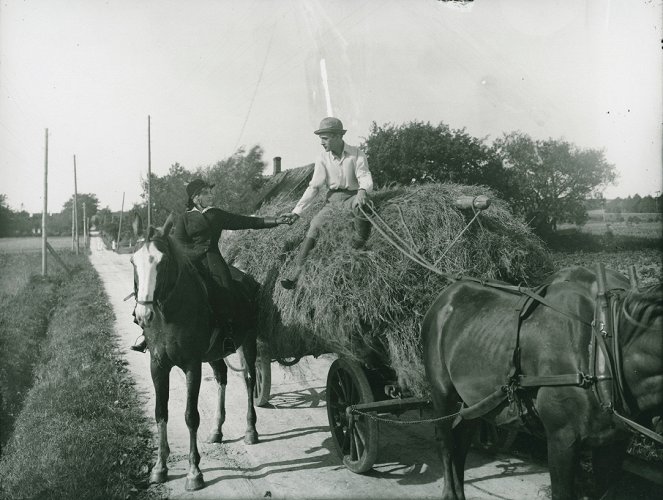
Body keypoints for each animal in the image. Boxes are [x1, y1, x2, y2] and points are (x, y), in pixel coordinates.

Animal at [131, 217, 260, 490]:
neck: (171, 313)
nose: (143, 315)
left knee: (249, 380)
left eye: (163, 262)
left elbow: (191, 416)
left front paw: (194, 472)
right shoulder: (158, 366)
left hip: (249, 343)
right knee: (222, 377)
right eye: (133, 261)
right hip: (214, 355)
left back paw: (250, 430)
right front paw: (159, 467)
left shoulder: (192, 366)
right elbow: (161, 412)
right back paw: (217, 430)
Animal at [422, 266, 660, 500]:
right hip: (442, 393)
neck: (601, 345)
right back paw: (449, 492)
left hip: (472, 402)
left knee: (462, 441)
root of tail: (446, 295)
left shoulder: (613, 443)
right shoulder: (562, 439)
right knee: (445, 442)